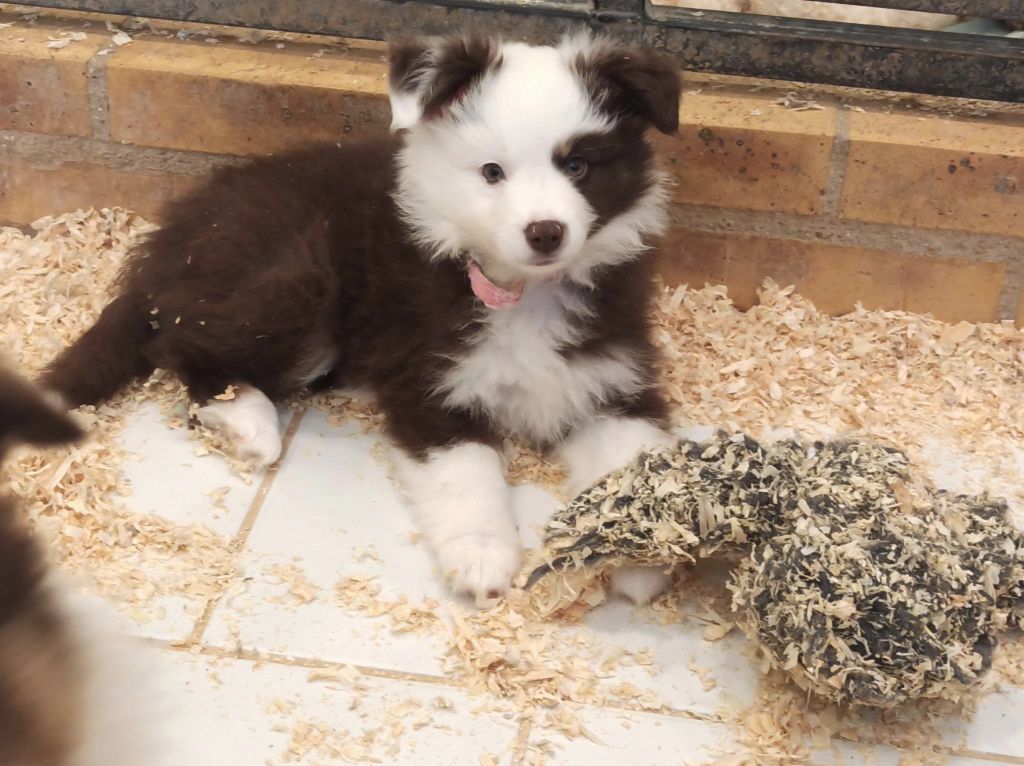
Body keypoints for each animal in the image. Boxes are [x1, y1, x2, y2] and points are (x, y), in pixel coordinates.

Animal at [41, 34, 679, 606]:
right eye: (492, 172)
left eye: (578, 165)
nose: (545, 232)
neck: (520, 293)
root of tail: (175, 233)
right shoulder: (428, 382)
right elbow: (467, 472)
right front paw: (482, 556)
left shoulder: (612, 378)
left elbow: (641, 457)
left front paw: (643, 553)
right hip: (298, 279)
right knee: (178, 341)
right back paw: (249, 421)